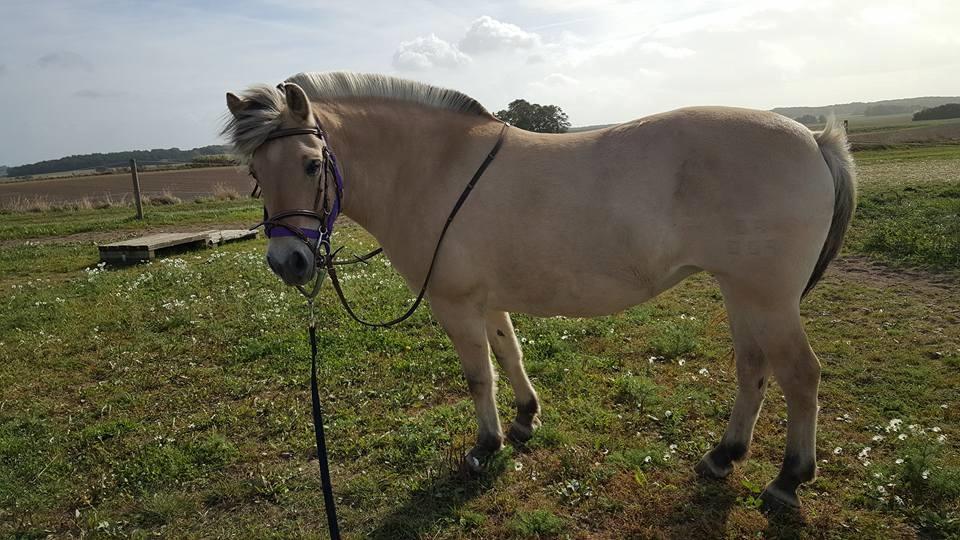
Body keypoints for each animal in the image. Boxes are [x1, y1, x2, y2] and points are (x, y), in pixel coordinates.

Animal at [223, 73, 856, 510]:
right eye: (255, 172)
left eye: (311, 165)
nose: (288, 262)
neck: (433, 169)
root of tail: (813, 138)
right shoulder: (487, 298)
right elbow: (510, 355)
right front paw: (526, 420)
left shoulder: (454, 303)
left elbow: (479, 375)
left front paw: (487, 444)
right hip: (740, 291)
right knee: (754, 368)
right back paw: (725, 456)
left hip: (767, 298)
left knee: (801, 375)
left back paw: (789, 479)